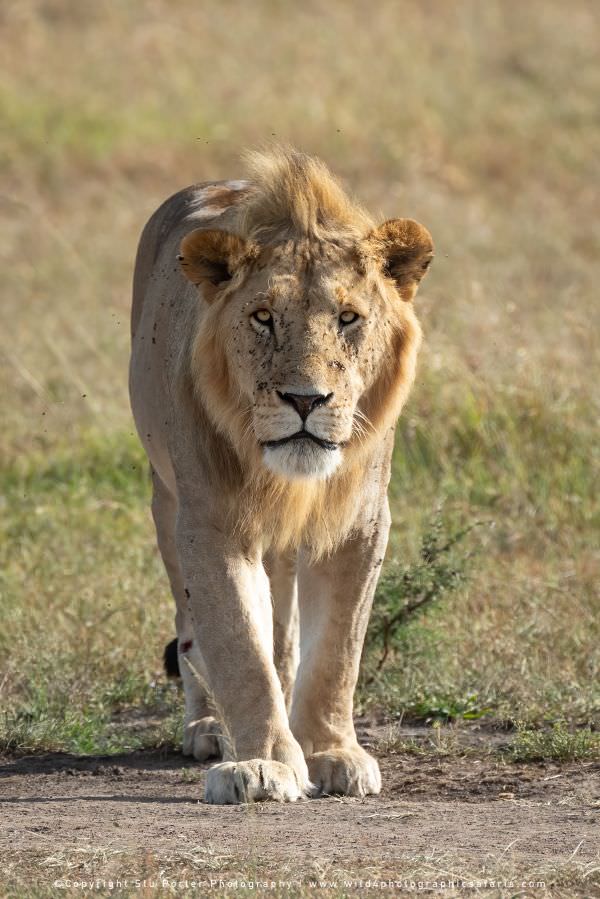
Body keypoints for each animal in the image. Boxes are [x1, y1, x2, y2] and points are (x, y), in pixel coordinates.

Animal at [129, 149, 434, 808]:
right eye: (263, 317)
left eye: (349, 318)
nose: (306, 399)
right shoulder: (211, 521)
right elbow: (239, 644)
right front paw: (263, 765)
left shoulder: (359, 521)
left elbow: (336, 651)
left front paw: (330, 752)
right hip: (165, 500)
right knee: (190, 628)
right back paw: (209, 729)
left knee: (286, 637)